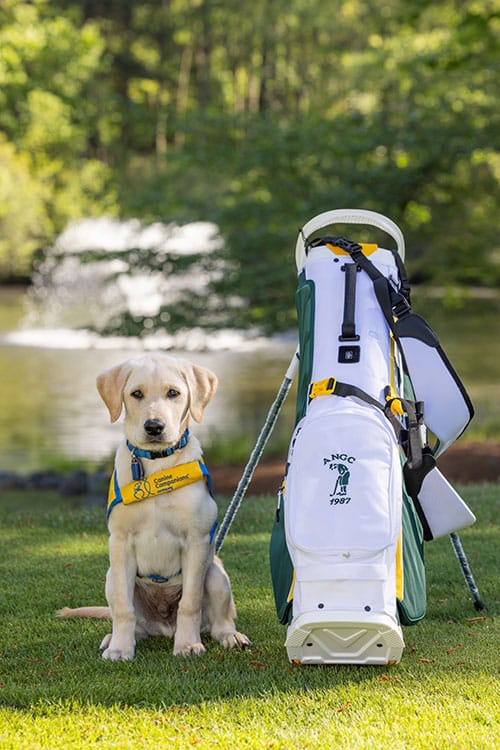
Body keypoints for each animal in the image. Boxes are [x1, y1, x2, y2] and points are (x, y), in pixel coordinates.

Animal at [58, 356, 250, 660]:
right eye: (136, 394)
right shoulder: (120, 543)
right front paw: (120, 648)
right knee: (131, 618)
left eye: (173, 393)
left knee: (220, 620)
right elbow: (124, 608)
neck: (157, 465)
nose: (154, 426)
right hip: (111, 577)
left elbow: (190, 603)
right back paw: (114, 638)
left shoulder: (196, 542)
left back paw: (230, 636)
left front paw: (188, 645)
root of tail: (163, 625)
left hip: (215, 574)